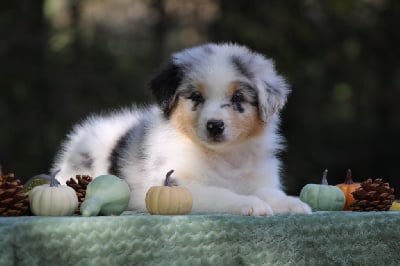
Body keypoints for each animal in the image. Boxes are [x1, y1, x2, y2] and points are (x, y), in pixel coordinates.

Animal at [51, 42, 310, 215]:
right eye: (196, 96)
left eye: (238, 98)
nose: (215, 126)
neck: (223, 157)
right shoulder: (178, 184)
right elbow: (220, 194)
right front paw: (251, 204)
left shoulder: (261, 179)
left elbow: (271, 193)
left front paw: (292, 204)